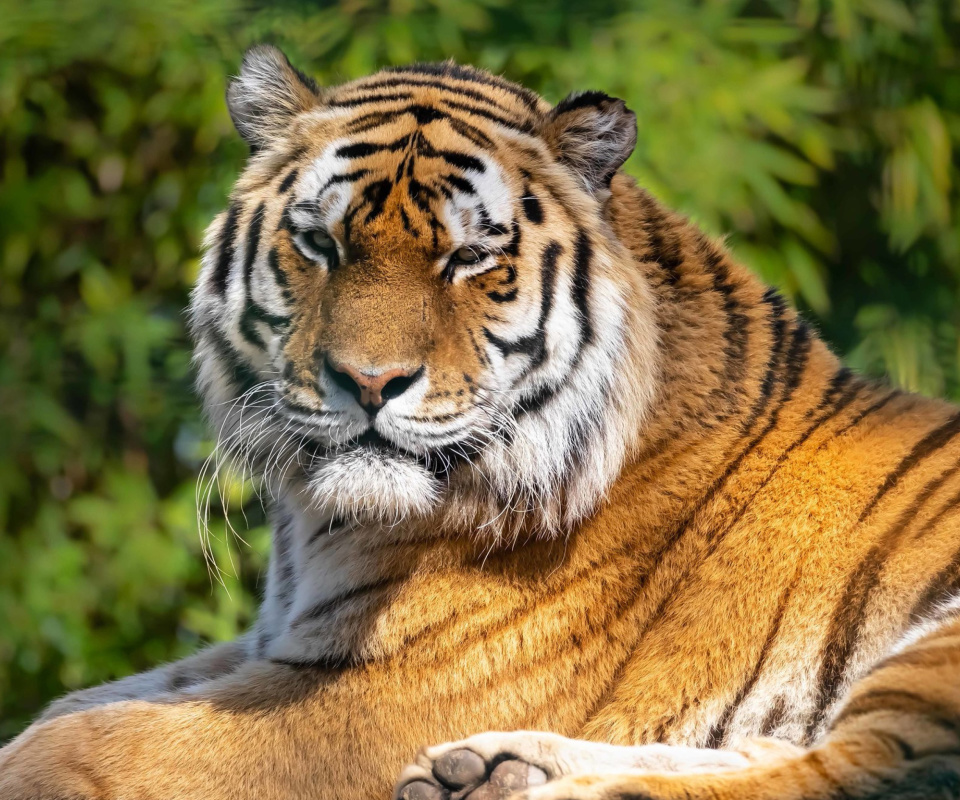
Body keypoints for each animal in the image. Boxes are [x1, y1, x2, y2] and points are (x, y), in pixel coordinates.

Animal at [1, 42, 960, 800]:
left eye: (468, 258)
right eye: (321, 245)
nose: (369, 382)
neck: (319, 528)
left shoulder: (371, 698)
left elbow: (71, 744)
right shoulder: (267, 646)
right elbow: (65, 706)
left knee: (863, 771)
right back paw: (490, 773)